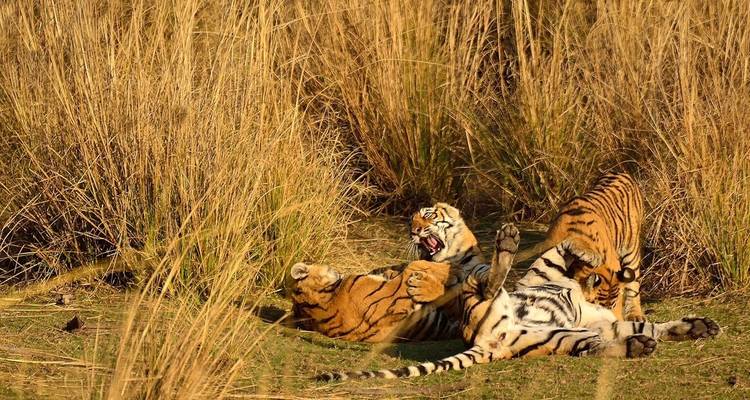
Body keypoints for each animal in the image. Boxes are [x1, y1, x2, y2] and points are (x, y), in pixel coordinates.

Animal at [316, 224, 720, 381]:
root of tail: (487, 343)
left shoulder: (603, 322)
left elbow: (648, 323)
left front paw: (697, 326)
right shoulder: (549, 267)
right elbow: (569, 246)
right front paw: (590, 258)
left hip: (561, 338)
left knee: (596, 347)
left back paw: (639, 346)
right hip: (492, 307)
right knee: (487, 283)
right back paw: (507, 243)